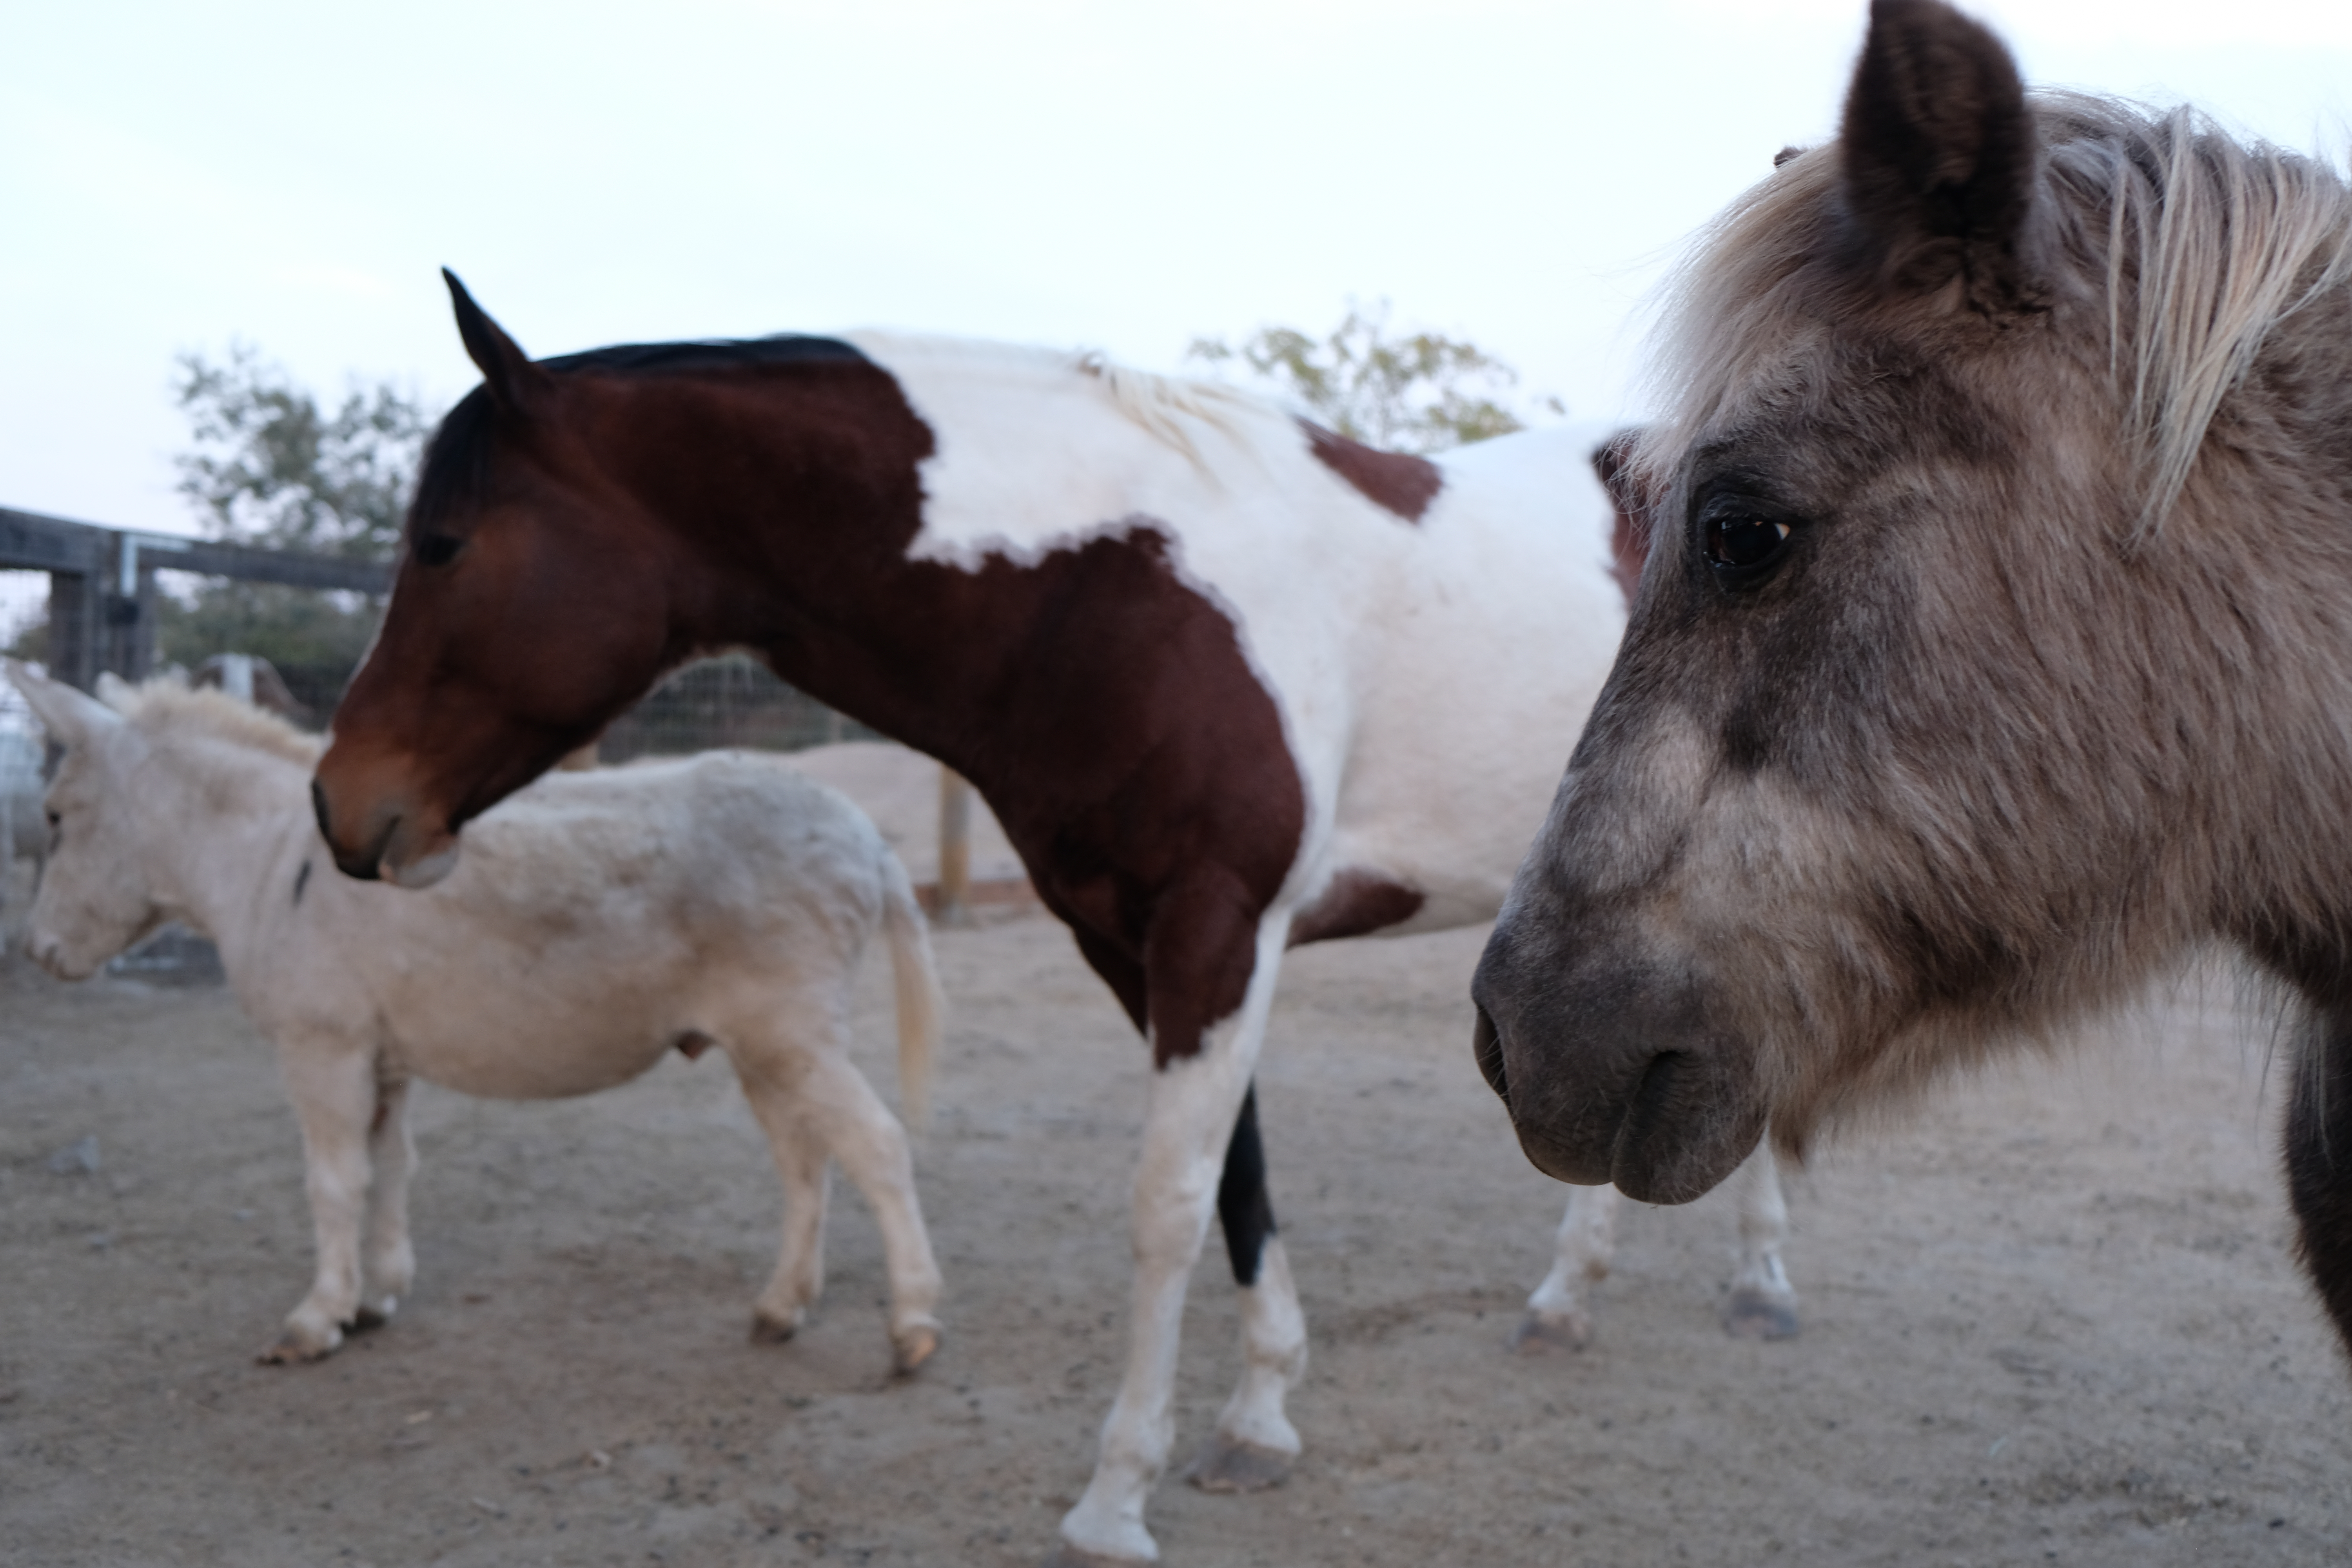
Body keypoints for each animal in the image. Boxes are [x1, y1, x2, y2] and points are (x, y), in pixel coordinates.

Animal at [9, 663, 947, 1373]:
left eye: (54, 816)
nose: (38, 951)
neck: (275, 859)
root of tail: (869, 837)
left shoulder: (322, 1048)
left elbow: (332, 1180)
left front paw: (316, 1319)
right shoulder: (380, 1058)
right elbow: (390, 1166)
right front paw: (379, 1295)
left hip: (791, 1037)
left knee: (879, 1145)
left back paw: (912, 1326)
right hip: (763, 1047)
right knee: (804, 1160)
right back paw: (782, 1307)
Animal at [307, 285, 1795, 1565]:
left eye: (443, 543)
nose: (344, 806)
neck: (1113, 583)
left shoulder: (1215, 936)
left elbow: (1165, 1207)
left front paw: (1115, 1497)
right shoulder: (1134, 943)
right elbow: (1237, 1180)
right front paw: (1260, 1416)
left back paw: (1751, 1286)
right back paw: (1585, 1298)